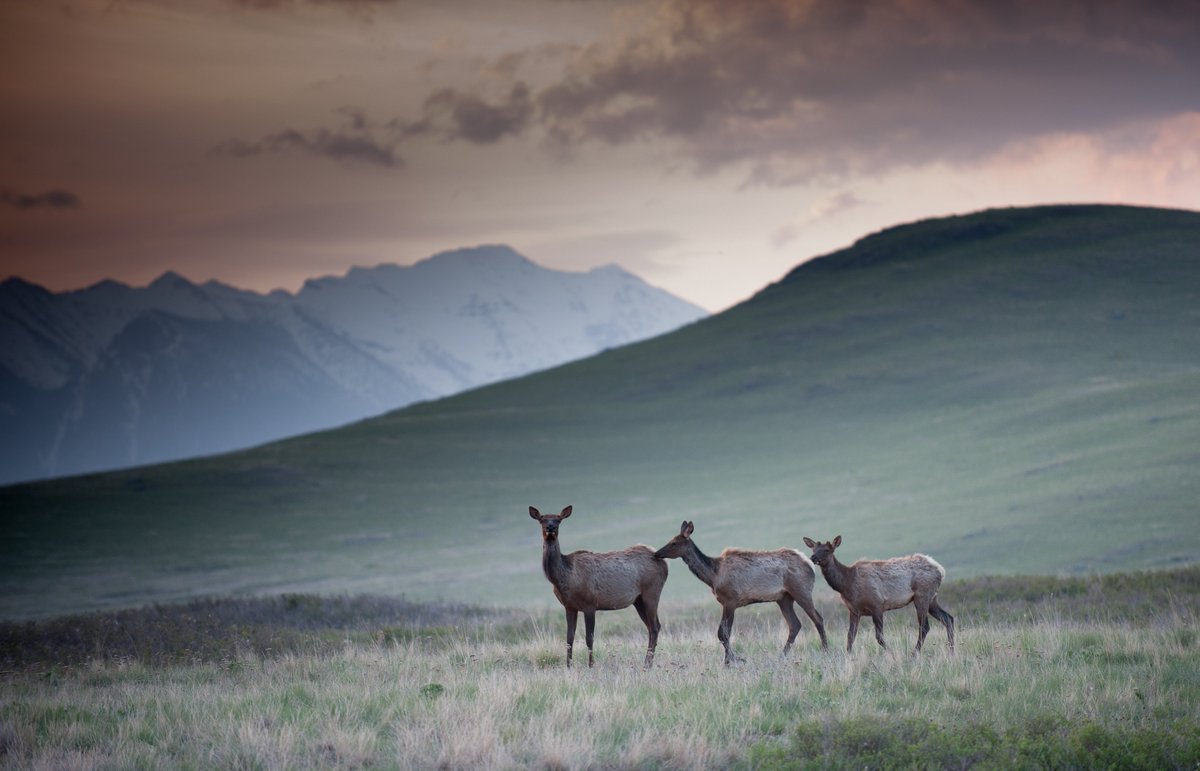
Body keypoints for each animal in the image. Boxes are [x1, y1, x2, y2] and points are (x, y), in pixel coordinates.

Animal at [529, 505, 668, 668]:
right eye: (542, 519)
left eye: (558, 520)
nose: (551, 527)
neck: (564, 578)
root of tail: (664, 562)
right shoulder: (569, 606)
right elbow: (569, 638)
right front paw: (568, 666)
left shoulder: (589, 603)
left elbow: (589, 637)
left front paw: (591, 665)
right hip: (638, 600)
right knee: (651, 627)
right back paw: (647, 662)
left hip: (652, 592)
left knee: (655, 626)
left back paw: (647, 664)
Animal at [654, 520, 827, 666]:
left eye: (674, 542)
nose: (657, 553)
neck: (713, 576)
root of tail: (810, 564)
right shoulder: (726, 602)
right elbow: (722, 633)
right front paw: (731, 659)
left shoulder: (730, 600)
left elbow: (723, 633)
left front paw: (731, 661)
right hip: (784, 598)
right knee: (795, 624)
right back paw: (781, 656)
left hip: (802, 590)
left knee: (817, 618)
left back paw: (826, 650)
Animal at [803, 535, 955, 654]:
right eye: (813, 549)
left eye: (827, 550)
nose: (813, 557)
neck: (847, 584)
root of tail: (940, 570)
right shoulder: (854, 611)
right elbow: (850, 637)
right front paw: (848, 656)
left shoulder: (877, 605)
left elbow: (879, 637)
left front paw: (893, 654)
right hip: (932, 598)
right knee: (948, 618)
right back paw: (952, 651)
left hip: (922, 596)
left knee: (925, 627)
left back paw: (914, 654)